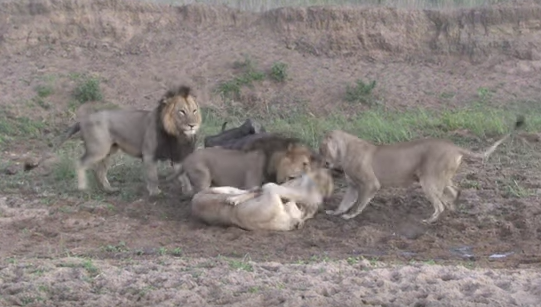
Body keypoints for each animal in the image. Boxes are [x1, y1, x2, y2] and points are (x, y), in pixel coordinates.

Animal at [27, 85, 200, 196]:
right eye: (181, 112)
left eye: (194, 110)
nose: (192, 125)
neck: (175, 133)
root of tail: (83, 119)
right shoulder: (149, 154)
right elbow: (153, 176)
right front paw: (155, 192)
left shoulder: (177, 155)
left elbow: (183, 175)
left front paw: (188, 191)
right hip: (99, 149)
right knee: (80, 163)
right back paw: (83, 188)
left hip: (109, 151)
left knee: (99, 171)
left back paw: (109, 190)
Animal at [320, 116, 524, 225]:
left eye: (321, 149)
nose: (323, 163)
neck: (345, 150)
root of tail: (455, 147)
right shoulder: (353, 186)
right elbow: (344, 202)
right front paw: (335, 213)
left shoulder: (370, 184)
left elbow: (358, 203)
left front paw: (350, 215)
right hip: (440, 178)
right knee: (455, 191)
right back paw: (452, 208)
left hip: (429, 180)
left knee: (440, 204)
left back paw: (430, 220)